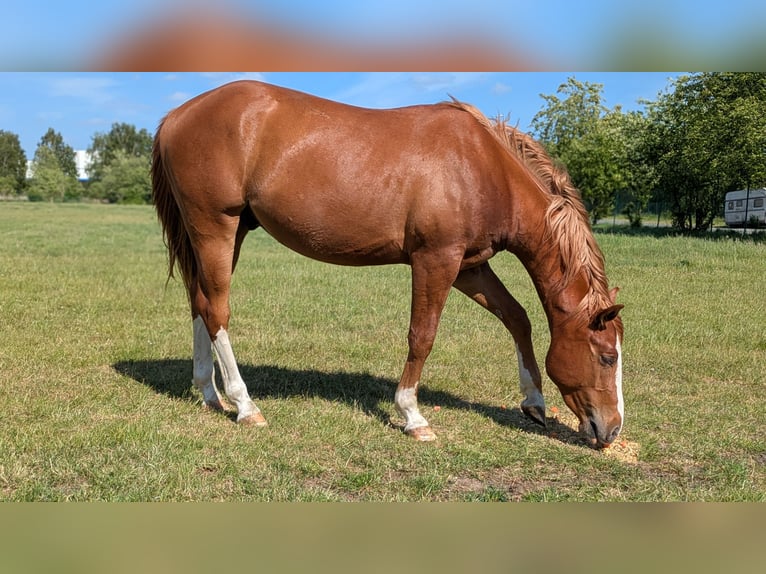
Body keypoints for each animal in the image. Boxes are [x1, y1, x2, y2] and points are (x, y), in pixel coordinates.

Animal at [151, 80, 624, 449]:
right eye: (607, 358)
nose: (612, 431)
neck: (483, 167)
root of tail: (177, 114)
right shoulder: (436, 260)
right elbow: (422, 336)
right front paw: (413, 416)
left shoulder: (469, 266)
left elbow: (517, 317)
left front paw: (534, 403)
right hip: (216, 226)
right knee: (216, 309)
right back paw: (244, 405)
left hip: (230, 232)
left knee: (200, 303)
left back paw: (209, 393)